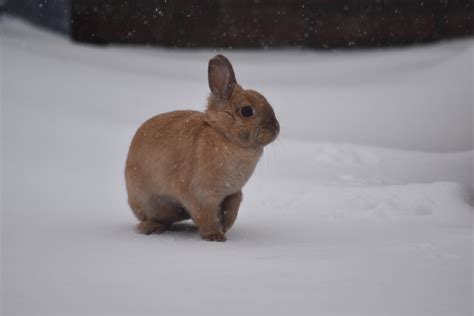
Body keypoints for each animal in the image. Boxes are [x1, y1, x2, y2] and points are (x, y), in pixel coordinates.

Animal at [126, 55, 280, 242]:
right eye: (247, 111)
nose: (276, 128)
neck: (224, 135)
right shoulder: (201, 196)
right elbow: (206, 216)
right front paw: (215, 236)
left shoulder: (233, 193)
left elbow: (231, 211)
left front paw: (224, 227)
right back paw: (150, 227)